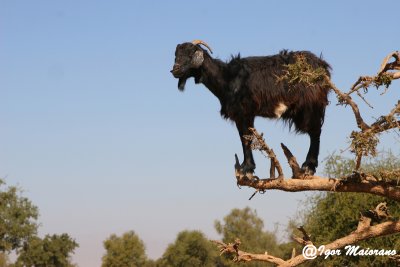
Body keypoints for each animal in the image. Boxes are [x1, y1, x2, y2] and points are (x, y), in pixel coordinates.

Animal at [172, 39, 332, 174]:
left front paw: (247, 168)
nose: (174, 69)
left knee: (315, 132)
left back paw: (308, 166)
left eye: (190, 54)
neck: (228, 78)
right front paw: (246, 166)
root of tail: (322, 66)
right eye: (176, 55)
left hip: (310, 106)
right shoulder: (240, 115)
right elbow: (243, 137)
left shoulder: (245, 112)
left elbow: (246, 139)